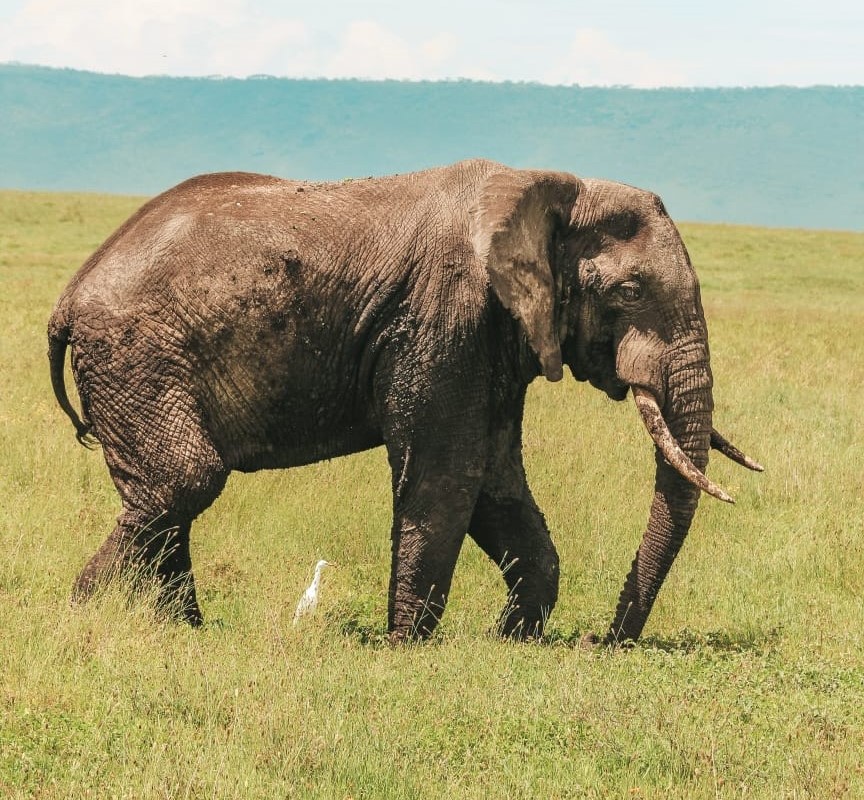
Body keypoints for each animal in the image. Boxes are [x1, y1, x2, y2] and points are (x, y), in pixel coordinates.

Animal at [49, 158, 764, 644]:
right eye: (632, 290)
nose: (601, 641)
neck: (548, 188)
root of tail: (70, 295)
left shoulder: (494, 340)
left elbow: (497, 483)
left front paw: (512, 642)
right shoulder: (446, 317)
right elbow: (448, 474)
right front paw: (407, 647)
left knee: (169, 497)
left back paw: (186, 632)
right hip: (139, 359)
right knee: (183, 482)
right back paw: (80, 615)